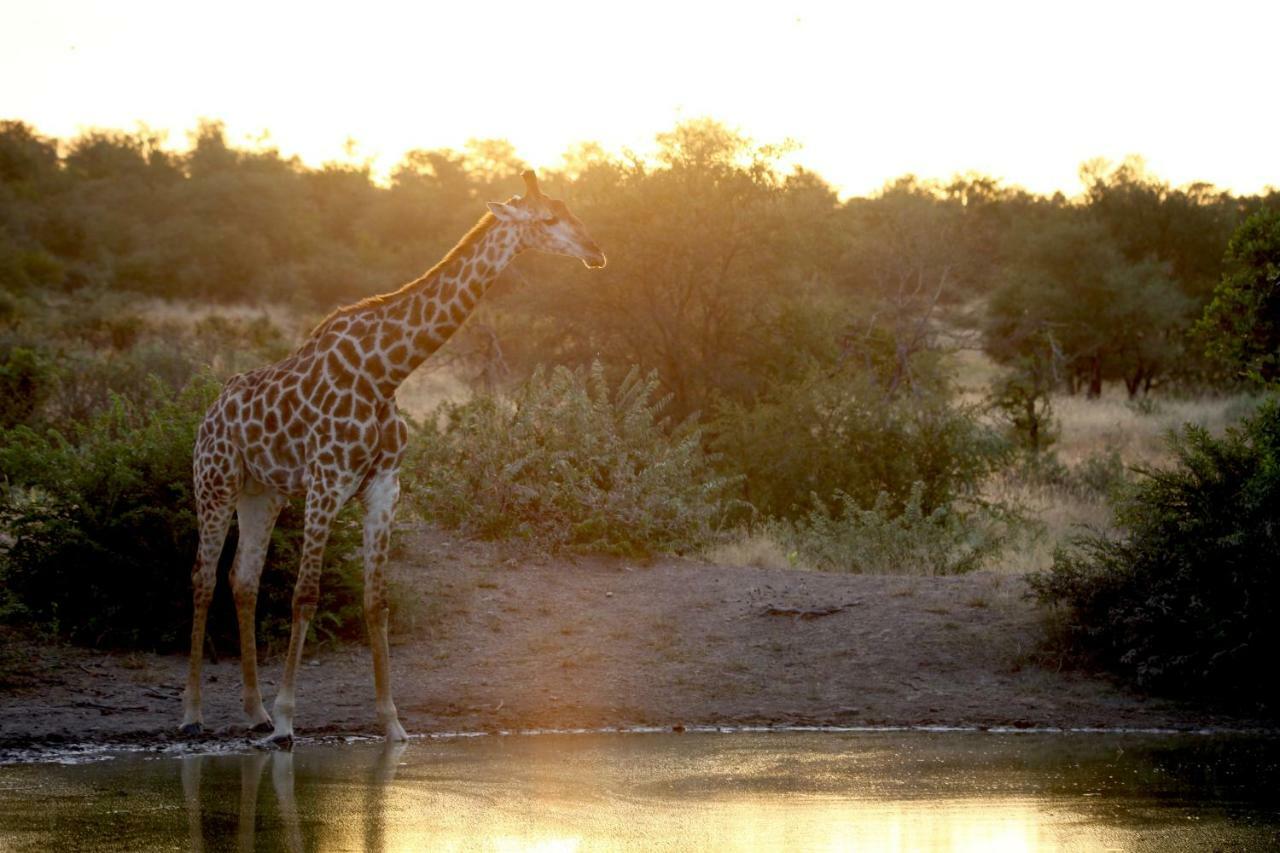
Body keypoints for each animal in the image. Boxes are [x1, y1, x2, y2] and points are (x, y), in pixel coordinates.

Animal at [179, 169, 609, 742]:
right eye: (547, 218)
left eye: (571, 209)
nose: (596, 251)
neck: (385, 372)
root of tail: (208, 412)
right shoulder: (327, 481)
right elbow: (306, 594)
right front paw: (290, 720)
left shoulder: (384, 486)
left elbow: (376, 600)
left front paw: (392, 722)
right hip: (216, 481)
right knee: (203, 579)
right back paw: (194, 713)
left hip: (262, 493)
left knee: (242, 580)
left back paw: (255, 712)